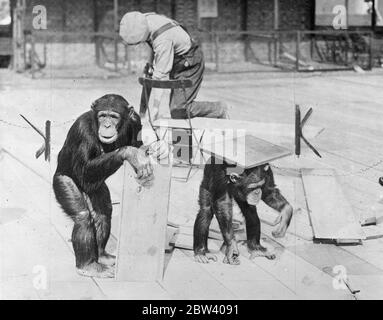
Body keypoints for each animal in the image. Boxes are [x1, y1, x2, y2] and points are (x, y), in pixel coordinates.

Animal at [53, 93, 158, 278]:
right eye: (102, 116)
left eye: (114, 117)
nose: (107, 125)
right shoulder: (82, 130)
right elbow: (84, 170)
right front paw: (130, 153)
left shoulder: (136, 120)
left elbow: (138, 143)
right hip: (62, 181)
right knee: (83, 216)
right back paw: (88, 266)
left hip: (97, 188)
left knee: (103, 212)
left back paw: (102, 255)